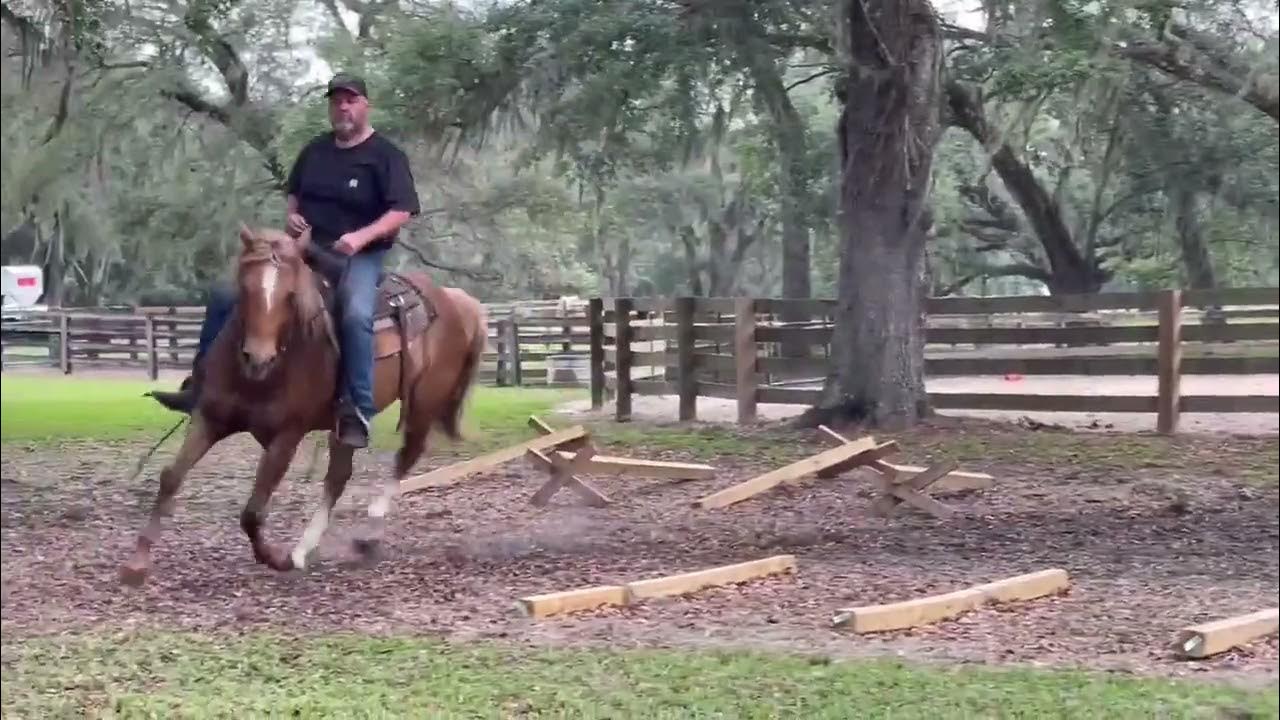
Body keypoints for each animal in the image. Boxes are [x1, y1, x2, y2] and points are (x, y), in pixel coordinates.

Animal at [119, 224, 489, 585]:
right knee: (338, 477)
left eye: (290, 295)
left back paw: (366, 532)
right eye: (245, 288)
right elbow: (171, 478)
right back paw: (304, 548)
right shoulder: (210, 418)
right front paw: (137, 562)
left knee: (405, 457)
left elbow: (253, 510)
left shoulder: (286, 436)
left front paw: (275, 559)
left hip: (424, 404)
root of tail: (459, 301)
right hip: (347, 427)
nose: (258, 359)